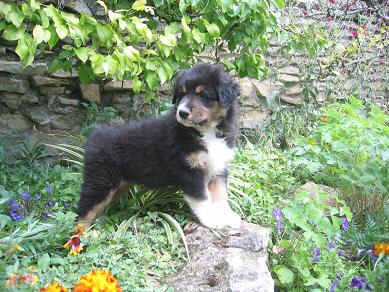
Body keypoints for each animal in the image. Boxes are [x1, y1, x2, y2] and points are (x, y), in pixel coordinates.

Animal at [76, 62, 239, 229]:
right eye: (181, 95)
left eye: (203, 96)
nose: (182, 113)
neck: (206, 131)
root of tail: (95, 135)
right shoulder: (190, 171)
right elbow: (203, 198)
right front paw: (212, 220)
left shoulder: (219, 167)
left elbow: (221, 195)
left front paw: (228, 218)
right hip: (101, 181)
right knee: (84, 210)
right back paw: (84, 233)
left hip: (117, 185)